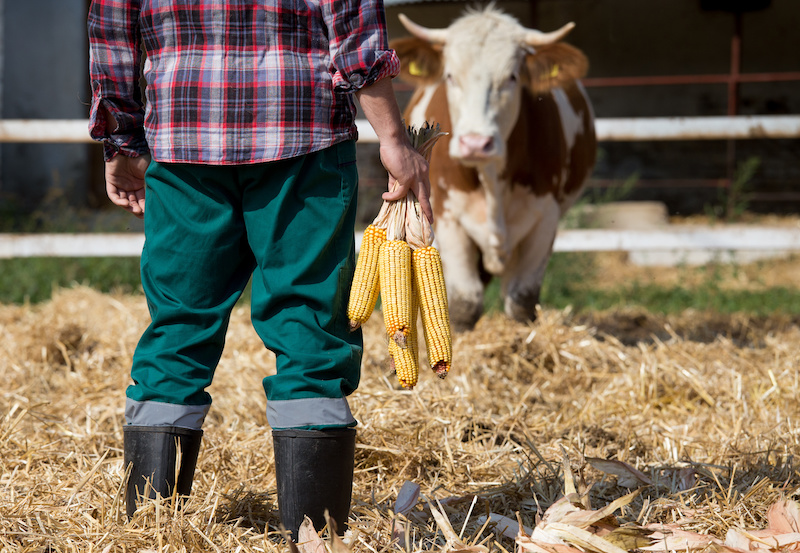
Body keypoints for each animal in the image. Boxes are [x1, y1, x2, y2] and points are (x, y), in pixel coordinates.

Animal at [390, 6, 596, 330]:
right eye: (450, 76)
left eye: (512, 77)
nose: (476, 143)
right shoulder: (447, 216)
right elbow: (464, 303)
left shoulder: (545, 218)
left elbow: (522, 299)